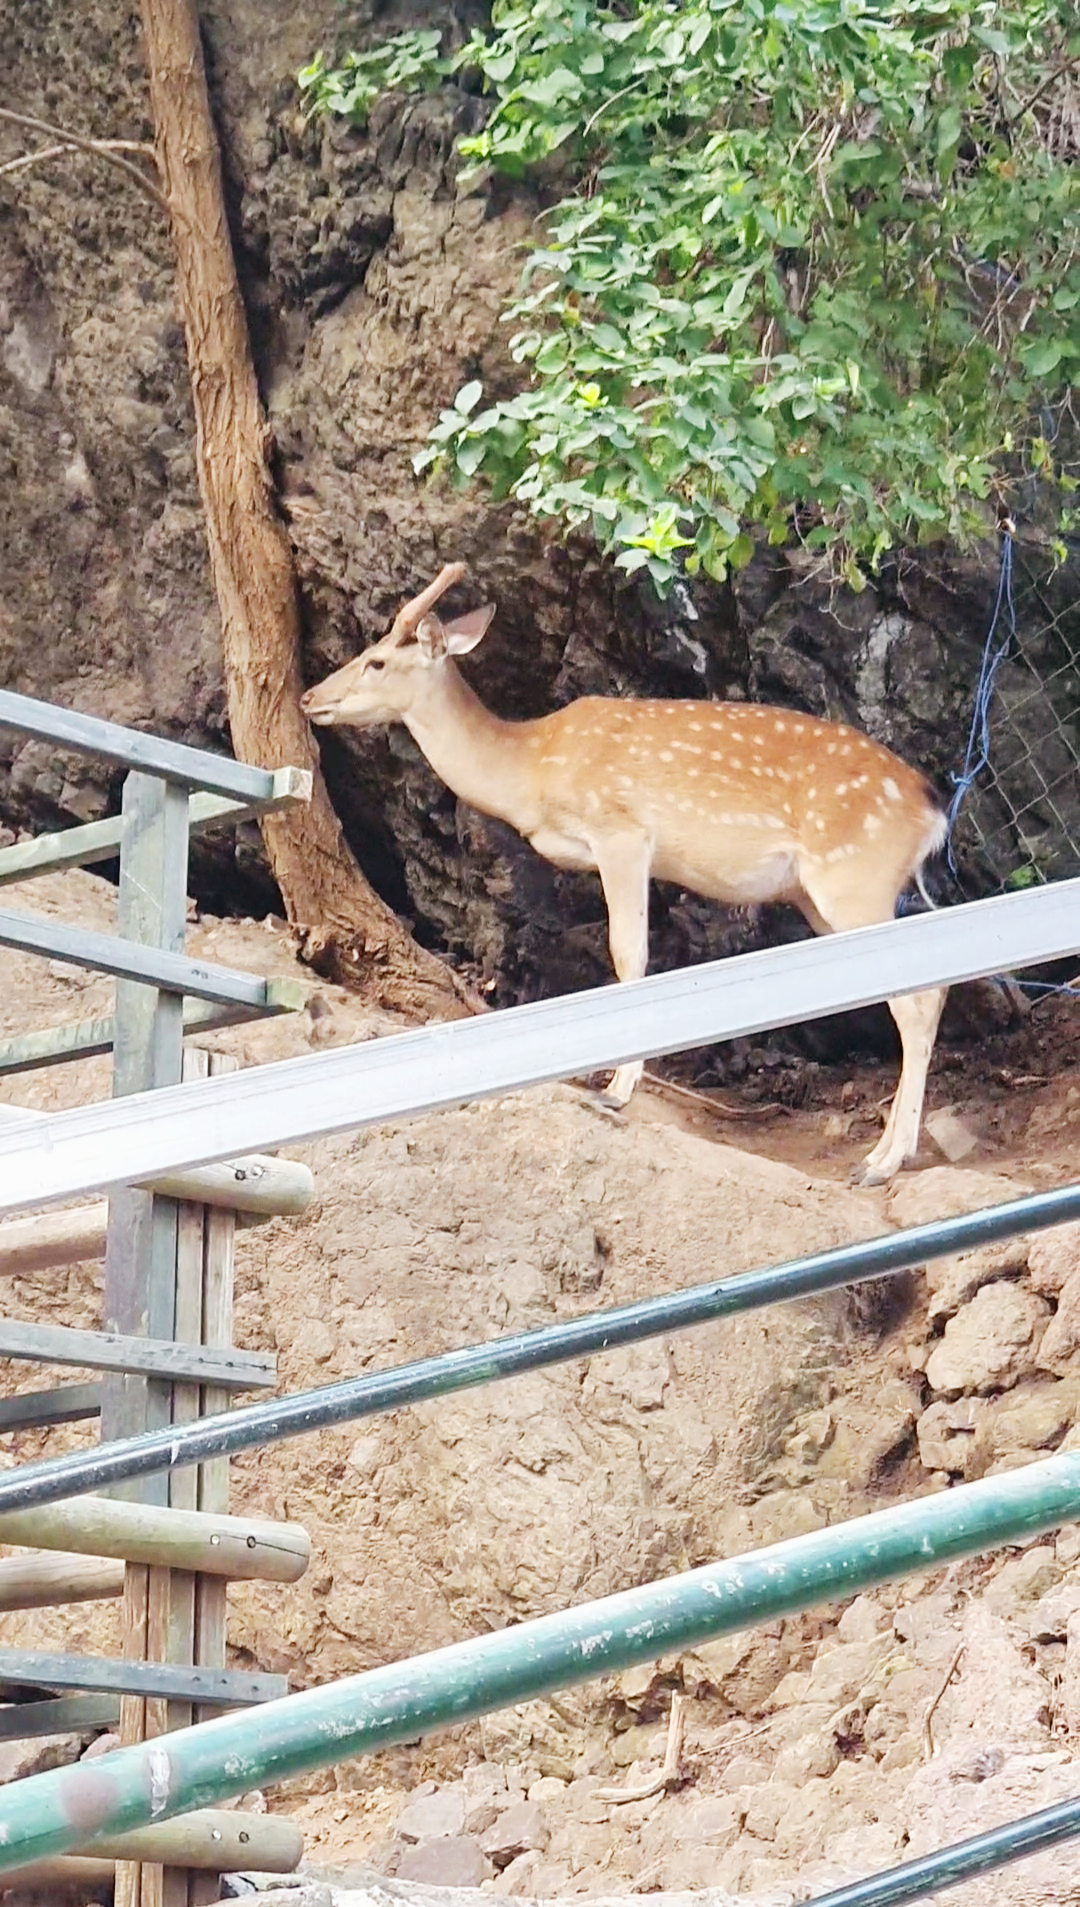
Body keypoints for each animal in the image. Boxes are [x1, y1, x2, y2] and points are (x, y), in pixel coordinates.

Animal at [297, 556, 946, 1174]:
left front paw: (614, 1091)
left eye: (377, 661)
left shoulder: (622, 831)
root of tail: (931, 813)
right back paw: (891, 1150)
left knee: (917, 1000)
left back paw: (884, 1160)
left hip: (854, 876)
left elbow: (629, 956)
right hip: (823, 896)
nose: (309, 697)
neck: (531, 768)